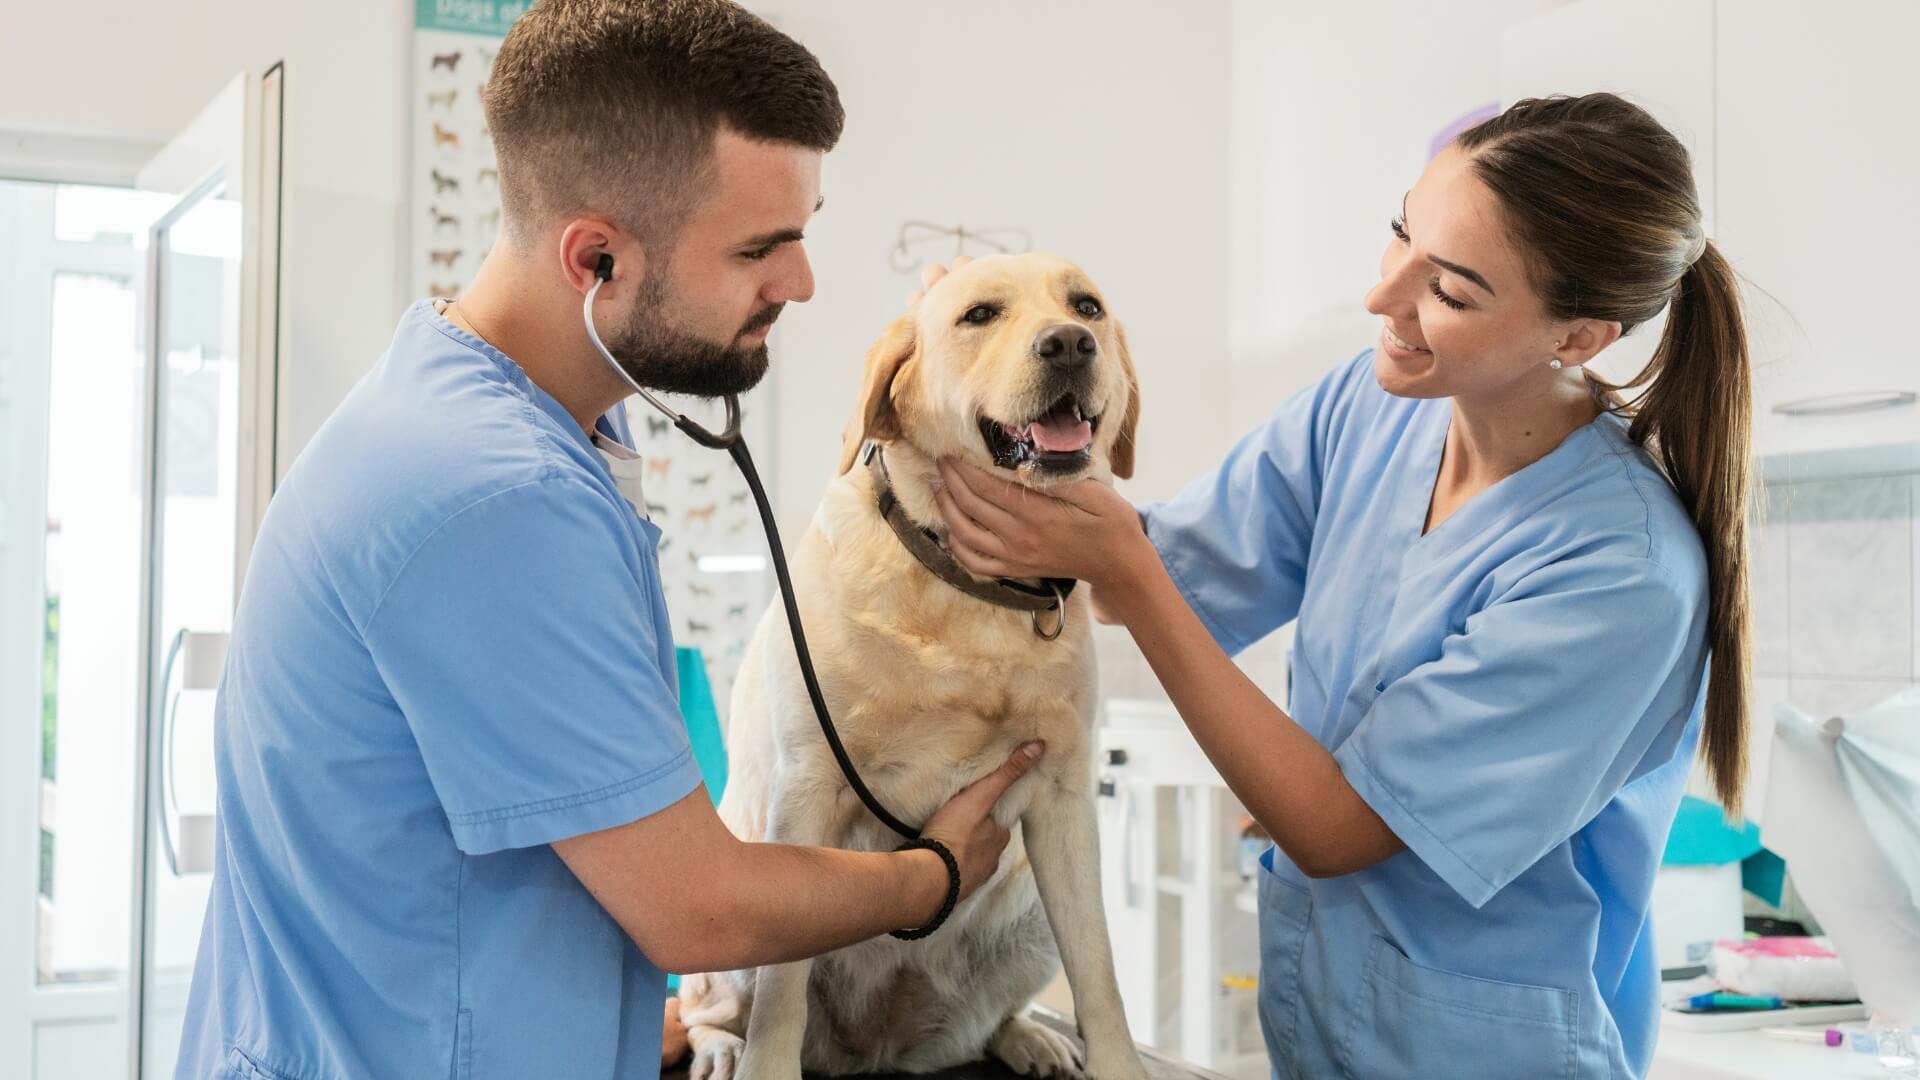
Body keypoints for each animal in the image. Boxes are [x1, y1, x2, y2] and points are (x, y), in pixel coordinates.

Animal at [679, 253, 1136, 1076]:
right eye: (979, 314)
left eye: (1087, 305)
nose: (1069, 344)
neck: (968, 591)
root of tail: (872, 1048)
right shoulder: (807, 791)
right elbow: (780, 1001)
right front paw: (762, 1060)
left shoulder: (1063, 800)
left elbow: (1100, 975)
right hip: (729, 898)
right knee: (708, 1005)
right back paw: (722, 1048)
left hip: (1027, 911)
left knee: (994, 1015)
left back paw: (1026, 1036)